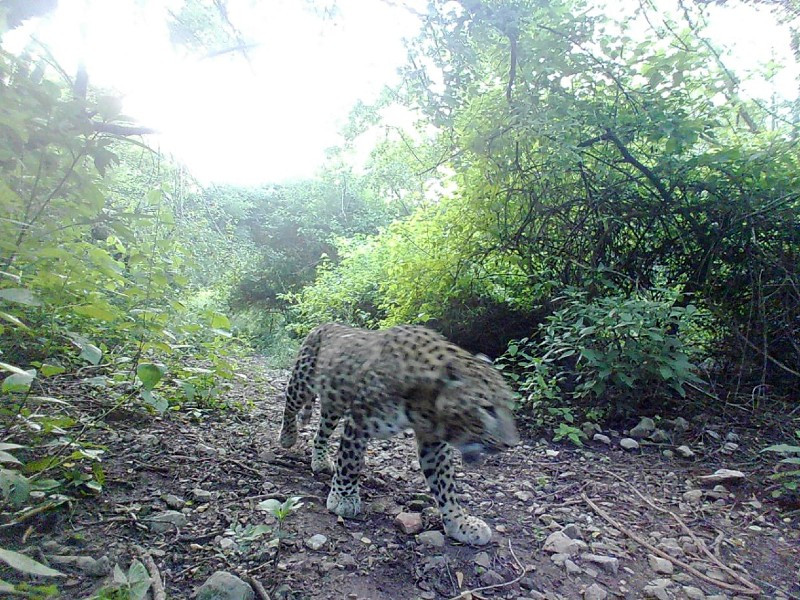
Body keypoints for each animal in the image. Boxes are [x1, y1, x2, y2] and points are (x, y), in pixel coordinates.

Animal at [280, 324, 520, 544]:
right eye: (487, 408)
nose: (511, 444)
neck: (427, 401)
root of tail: (323, 325)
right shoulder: (359, 421)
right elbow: (350, 462)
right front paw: (344, 499)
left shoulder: (433, 442)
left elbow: (445, 484)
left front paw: (460, 523)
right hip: (302, 381)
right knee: (290, 406)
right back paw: (287, 437)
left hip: (334, 402)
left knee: (321, 432)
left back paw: (320, 461)